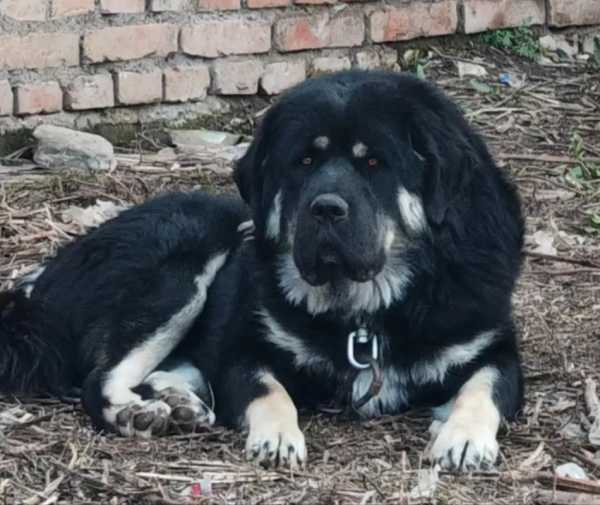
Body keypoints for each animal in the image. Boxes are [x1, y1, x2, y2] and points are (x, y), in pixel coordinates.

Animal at [0, 72, 524, 472]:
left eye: (374, 162)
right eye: (304, 161)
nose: (325, 208)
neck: (365, 311)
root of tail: (41, 283)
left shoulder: (493, 348)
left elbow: (483, 389)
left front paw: (463, 438)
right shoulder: (246, 349)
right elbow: (267, 390)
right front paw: (277, 436)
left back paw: (180, 403)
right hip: (186, 260)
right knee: (99, 378)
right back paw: (135, 413)